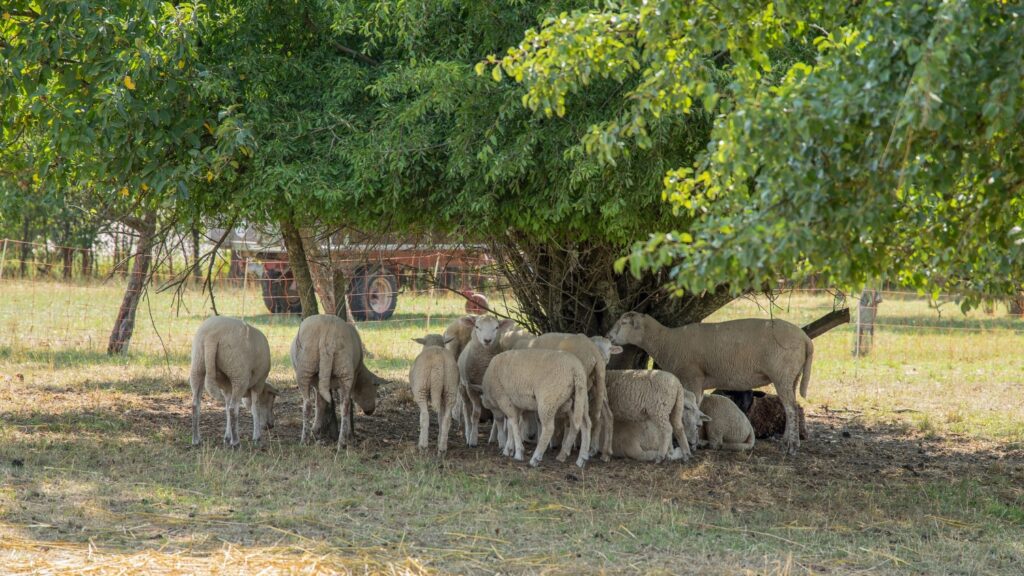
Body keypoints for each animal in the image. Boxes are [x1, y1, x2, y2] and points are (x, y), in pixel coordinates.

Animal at [189, 315, 278, 446]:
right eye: (271, 400)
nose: (271, 426)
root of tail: (212, 335)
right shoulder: (259, 383)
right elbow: (255, 408)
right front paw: (256, 437)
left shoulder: (227, 388)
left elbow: (226, 408)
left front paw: (227, 436)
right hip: (238, 374)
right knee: (233, 409)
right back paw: (236, 442)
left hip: (198, 365)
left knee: (196, 405)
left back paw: (196, 440)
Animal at [290, 313, 378, 444]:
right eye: (374, 390)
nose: (370, 411)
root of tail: (328, 334)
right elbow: (323, 402)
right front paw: (316, 429)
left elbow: (320, 403)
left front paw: (315, 429)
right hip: (344, 368)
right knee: (345, 405)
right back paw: (342, 442)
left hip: (305, 367)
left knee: (307, 404)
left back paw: (304, 440)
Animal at [458, 313, 516, 444]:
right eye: (477, 326)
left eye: (496, 327)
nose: (487, 340)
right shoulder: (471, 388)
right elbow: (475, 414)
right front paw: (473, 439)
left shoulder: (496, 389)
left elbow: (498, 417)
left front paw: (501, 439)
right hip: (463, 387)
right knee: (466, 409)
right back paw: (468, 433)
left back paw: (492, 438)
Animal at [606, 311, 815, 455]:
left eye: (623, 322)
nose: (608, 336)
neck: (666, 342)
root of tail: (806, 339)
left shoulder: (693, 377)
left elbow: (694, 407)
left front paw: (693, 441)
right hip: (792, 376)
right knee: (791, 407)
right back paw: (787, 441)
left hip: (783, 374)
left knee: (791, 408)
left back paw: (792, 446)